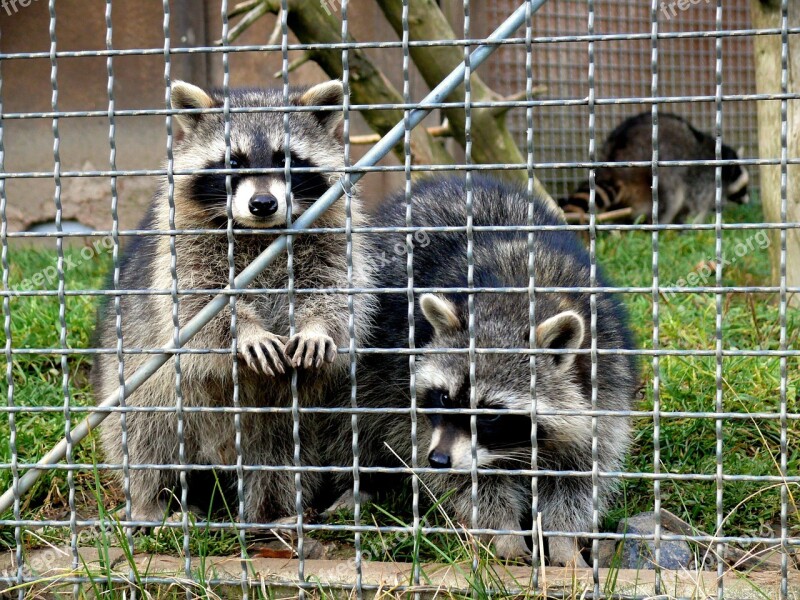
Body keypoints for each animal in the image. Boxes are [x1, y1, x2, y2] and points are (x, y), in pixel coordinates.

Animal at [90, 78, 376, 524]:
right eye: (234, 162)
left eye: (285, 159)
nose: (263, 204)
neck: (258, 233)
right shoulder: (183, 249)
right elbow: (198, 304)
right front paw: (245, 329)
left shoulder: (333, 236)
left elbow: (335, 288)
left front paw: (316, 325)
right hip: (141, 385)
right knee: (144, 436)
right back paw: (151, 502)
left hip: (279, 422)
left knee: (278, 456)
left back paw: (271, 514)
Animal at [324, 175, 636, 568]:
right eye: (443, 398)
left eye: (489, 414)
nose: (439, 460)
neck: (514, 302)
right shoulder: (413, 402)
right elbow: (470, 482)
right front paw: (504, 533)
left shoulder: (604, 376)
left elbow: (579, 473)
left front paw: (564, 541)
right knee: (352, 422)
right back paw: (360, 484)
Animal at [556, 111, 752, 224]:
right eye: (743, 188)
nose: (747, 200)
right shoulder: (705, 178)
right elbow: (700, 205)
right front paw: (698, 220)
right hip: (661, 170)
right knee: (672, 198)